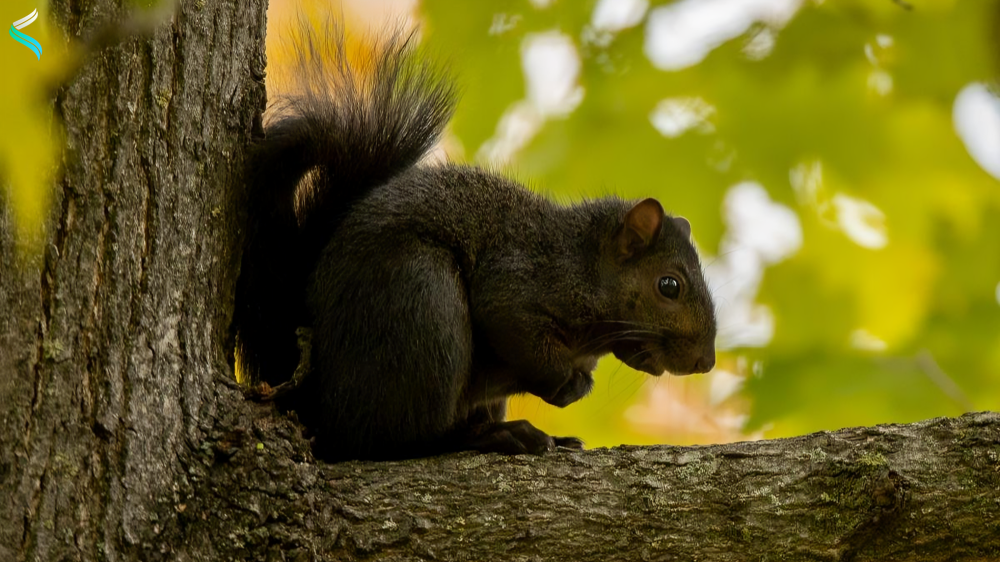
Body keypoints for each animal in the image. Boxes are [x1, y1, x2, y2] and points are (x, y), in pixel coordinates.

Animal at [234, 24, 720, 460]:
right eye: (669, 286)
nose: (706, 362)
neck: (581, 262)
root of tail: (314, 402)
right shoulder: (520, 280)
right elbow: (511, 323)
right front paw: (565, 383)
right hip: (422, 304)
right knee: (386, 439)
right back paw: (486, 437)